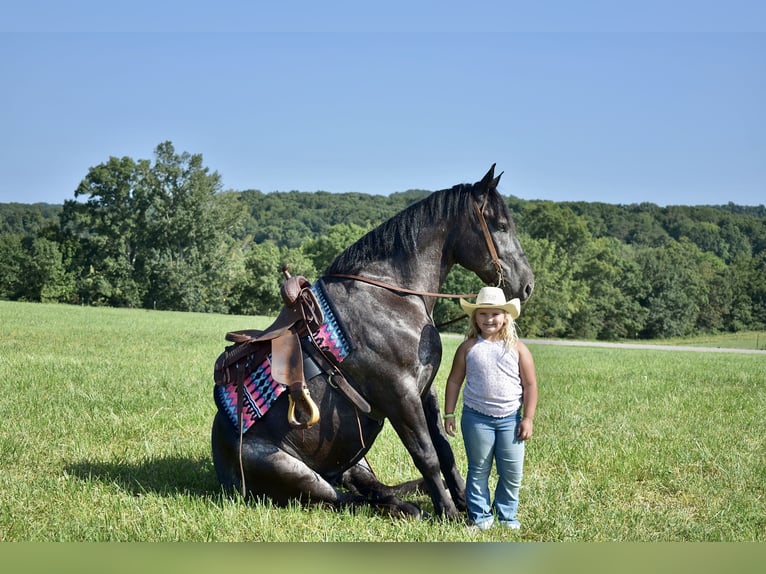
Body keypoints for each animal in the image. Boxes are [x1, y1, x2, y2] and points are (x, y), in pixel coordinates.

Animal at [210, 164, 536, 520]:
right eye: (500, 225)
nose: (528, 284)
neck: (389, 294)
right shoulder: (399, 394)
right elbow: (426, 454)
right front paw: (450, 513)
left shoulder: (425, 391)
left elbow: (444, 450)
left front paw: (464, 503)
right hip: (298, 475)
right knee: (347, 500)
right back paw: (405, 508)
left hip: (353, 464)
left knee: (374, 489)